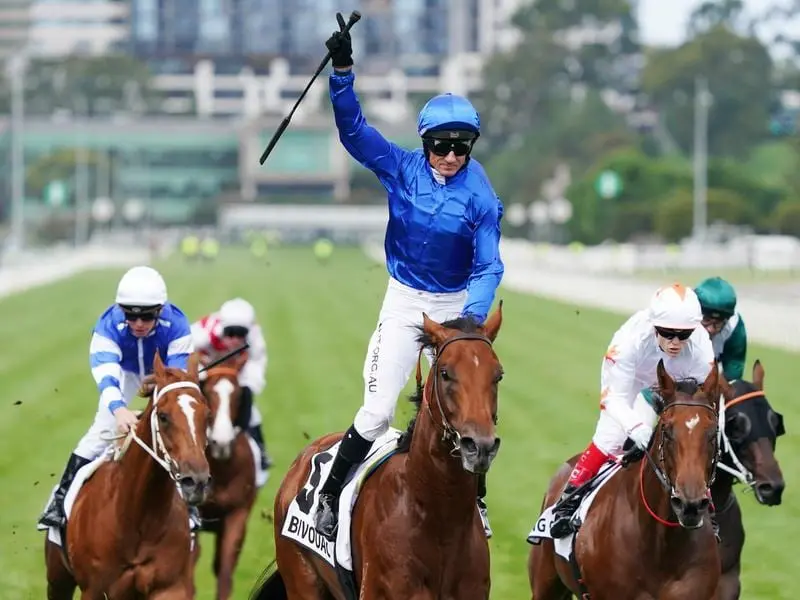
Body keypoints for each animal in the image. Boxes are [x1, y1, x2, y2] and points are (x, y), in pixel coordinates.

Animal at [45, 352, 211, 600]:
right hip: (58, 578)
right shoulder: (95, 590)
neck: (136, 517)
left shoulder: (171, 586)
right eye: (163, 416)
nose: (197, 481)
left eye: (207, 415)